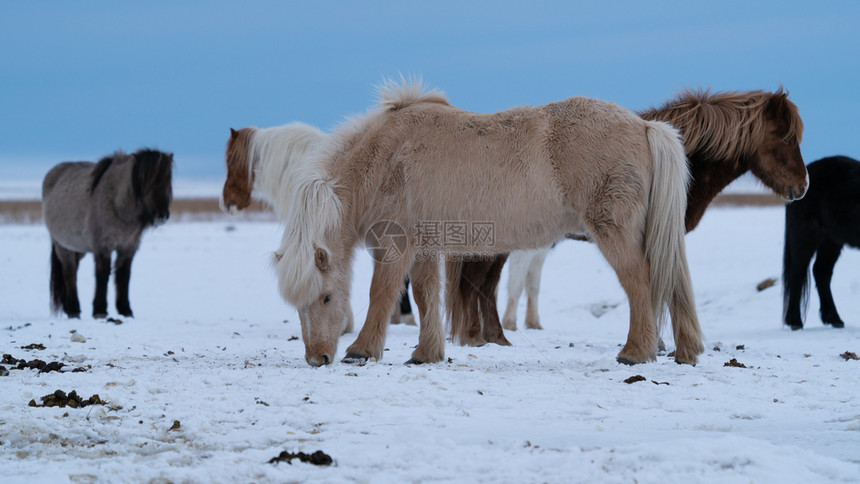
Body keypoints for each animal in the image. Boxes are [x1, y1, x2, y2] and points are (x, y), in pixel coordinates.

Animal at [42, 149, 173, 320]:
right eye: (146, 180)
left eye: (168, 178)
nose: (161, 216)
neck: (117, 205)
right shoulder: (102, 247)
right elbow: (102, 275)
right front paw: (100, 310)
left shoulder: (128, 248)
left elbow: (123, 276)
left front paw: (125, 310)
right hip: (62, 246)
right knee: (69, 273)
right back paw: (73, 309)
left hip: (78, 248)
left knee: (73, 271)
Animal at [272, 78, 704, 366]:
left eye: (326, 298)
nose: (317, 358)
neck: (385, 158)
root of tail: (644, 126)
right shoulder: (425, 244)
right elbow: (427, 296)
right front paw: (426, 353)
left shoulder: (396, 243)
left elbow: (382, 292)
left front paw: (361, 350)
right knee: (670, 282)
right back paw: (684, 350)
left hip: (614, 230)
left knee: (640, 282)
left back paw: (635, 353)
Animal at [784, 155, 856, 328]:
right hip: (805, 237)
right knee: (798, 272)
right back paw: (795, 321)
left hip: (832, 241)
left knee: (821, 272)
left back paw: (834, 318)